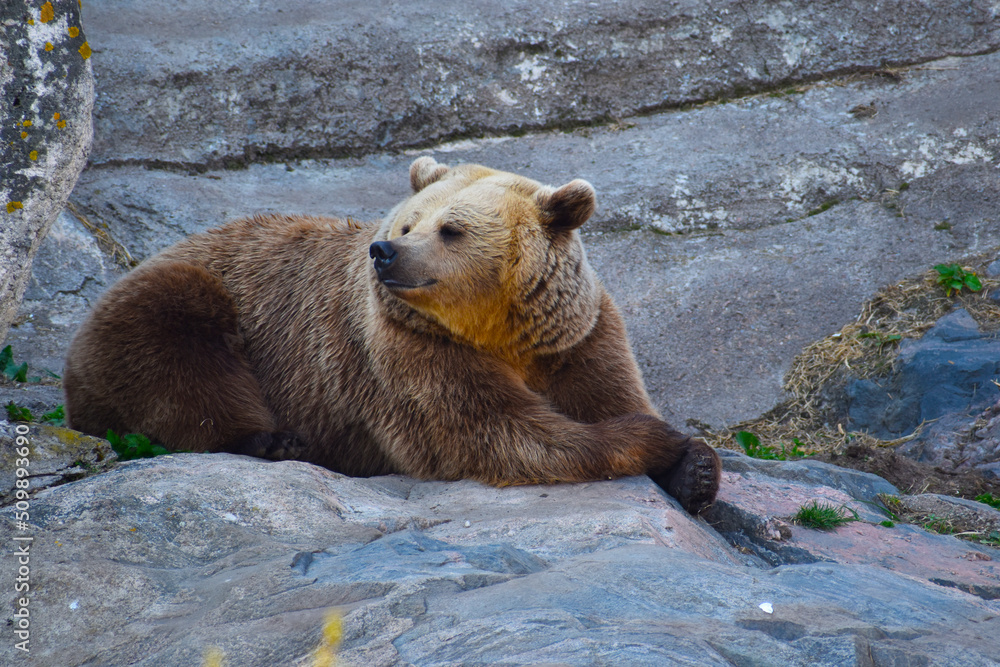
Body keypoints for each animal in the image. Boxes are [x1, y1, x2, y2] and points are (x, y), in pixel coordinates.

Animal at [63, 157, 721, 513]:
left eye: (451, 229)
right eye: (409, 221)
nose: (385, 251)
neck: (498, 330)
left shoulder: (573, 336)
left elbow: (608, 392)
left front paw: (698, 468)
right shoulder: (404, 353)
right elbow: (498, 434)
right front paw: (657, 440)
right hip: (189, 301)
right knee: (181, 359)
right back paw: (272, 441)